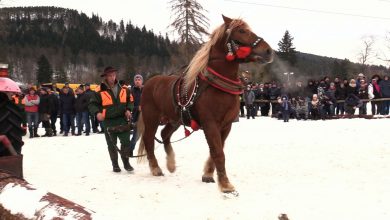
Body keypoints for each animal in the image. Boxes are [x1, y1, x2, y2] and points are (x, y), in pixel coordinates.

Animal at [137, 15, 274, 194]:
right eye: (242, 31)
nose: (268, 51)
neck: (218, 86)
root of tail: (149, 82)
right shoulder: (210, 124)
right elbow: (218, 152)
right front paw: (225, 184)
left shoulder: (226, 125)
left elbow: (217, 150)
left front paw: (208, 174)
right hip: (151, 118)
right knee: (149, 139)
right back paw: (155, 168)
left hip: (175, 119)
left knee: (165, 134)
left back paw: (171, 164)